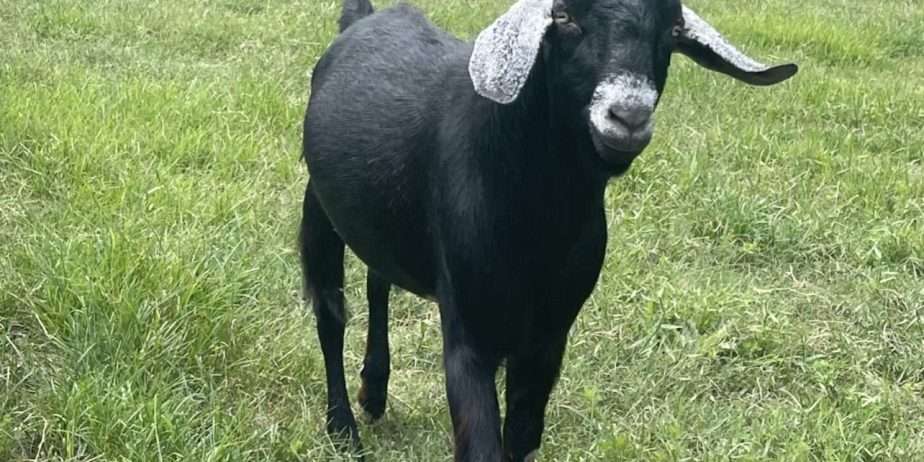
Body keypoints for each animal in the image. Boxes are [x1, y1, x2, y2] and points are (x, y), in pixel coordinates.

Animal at [300, 0, 797, 460]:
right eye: (564, 17)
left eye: (673, 27)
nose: (628, 115)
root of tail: (364, 20)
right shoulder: (468, 336)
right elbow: (482, 445)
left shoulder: (548, 340)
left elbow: (521, 438)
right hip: (318, 208)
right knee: (330, 314)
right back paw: (342, 429)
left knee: (377, 280)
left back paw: (375, 390)